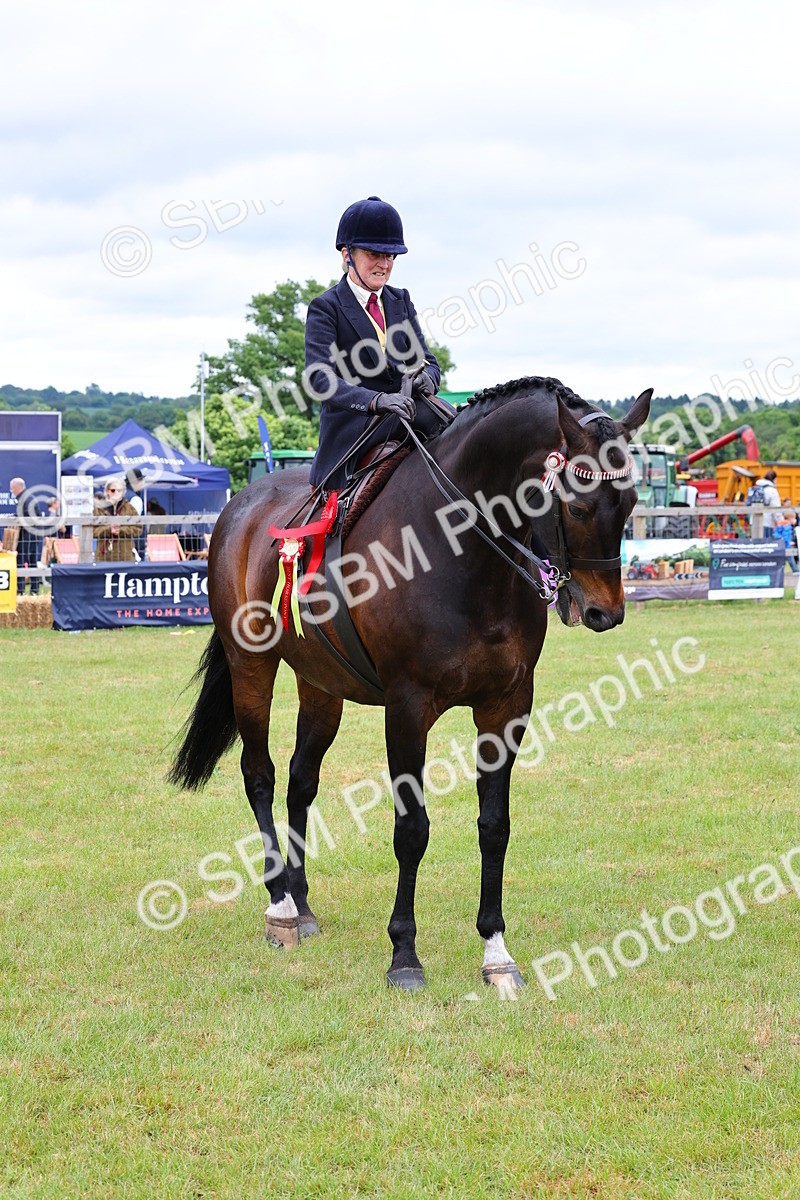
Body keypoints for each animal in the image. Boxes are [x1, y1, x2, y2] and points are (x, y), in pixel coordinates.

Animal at [169, 376, 652, 992]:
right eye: (581, 504)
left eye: (631, 504)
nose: (603, 612)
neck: (460, 552)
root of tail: (241, 506)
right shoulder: (406, 708)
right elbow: (412, 829)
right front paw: (404, 953)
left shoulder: (506, 706)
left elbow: (494, 825)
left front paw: (496, 951)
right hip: (250, 666)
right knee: (260, 775)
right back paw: (279, 907)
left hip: (321, 684)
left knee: (301, 781)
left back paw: (302, 903)